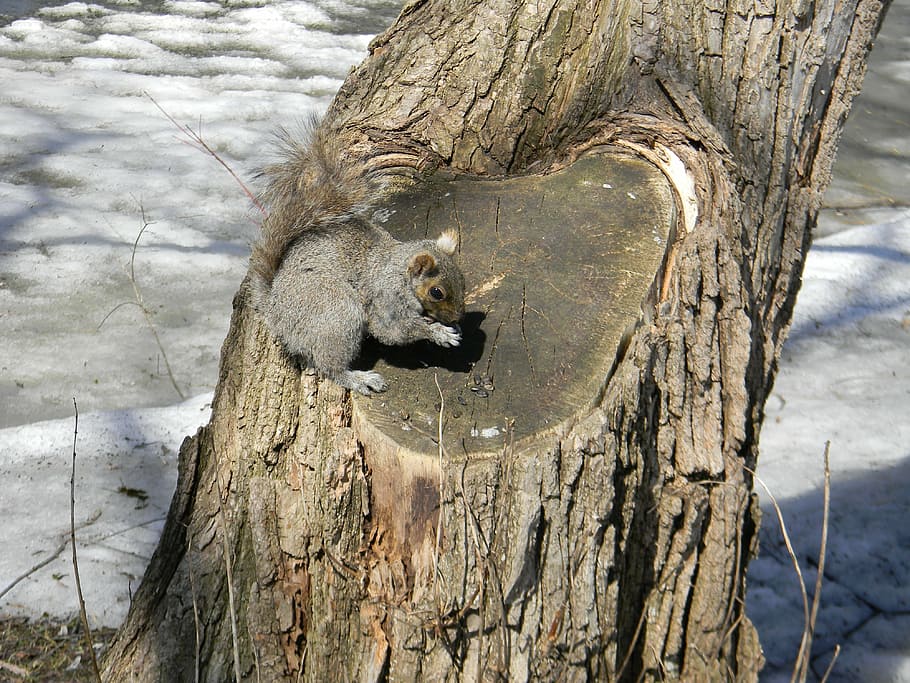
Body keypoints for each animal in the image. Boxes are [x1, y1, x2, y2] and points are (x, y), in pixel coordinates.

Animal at [248, 121, 466, 395]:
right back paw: (360, 379)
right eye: (437, 292)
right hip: (337, 314)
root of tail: (274, 310)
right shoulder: (386, 299)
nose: (458, 318)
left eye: (462, 279)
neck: (399, 271)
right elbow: (393, 330)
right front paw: (440, 333)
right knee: (330, 367)